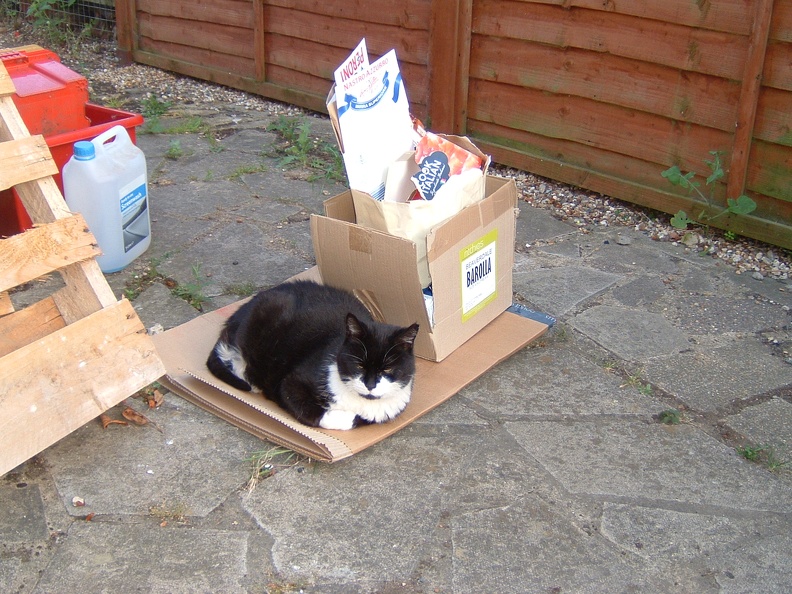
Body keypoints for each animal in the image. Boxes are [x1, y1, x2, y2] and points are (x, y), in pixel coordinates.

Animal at [206, 280, 420, 428]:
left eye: (388, 369)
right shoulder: (290, 383)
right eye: (359, 364)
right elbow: (316, 414)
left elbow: (359, 419)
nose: (370, 384)